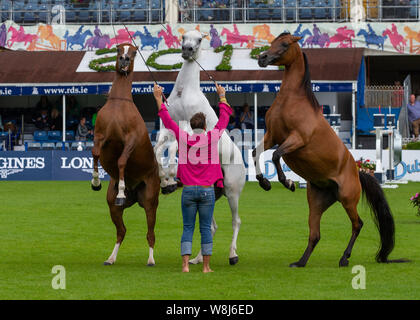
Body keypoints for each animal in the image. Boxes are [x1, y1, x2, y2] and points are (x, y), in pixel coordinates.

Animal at [92, 43, 161, 268]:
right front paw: (95, 181)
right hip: (113, 207)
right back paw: (111, 258)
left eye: (133, 52)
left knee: (150, 233)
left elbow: (122, 160)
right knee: (121, 231)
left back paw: (151, 260)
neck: (118, 104)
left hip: (150, 202)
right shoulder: (100, 136)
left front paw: (121, 190)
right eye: (117, 50)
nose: (124, 60)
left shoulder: (130, 141)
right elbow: (95, 153)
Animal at [251, 32, 406, 268]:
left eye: (285, 44)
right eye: (272, 43)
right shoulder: (271, 137)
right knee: (315, 234)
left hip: (347, 199)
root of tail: (358, 173)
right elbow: (255, 152)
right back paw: (300, 262)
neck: (291, 101)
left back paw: (344, 258)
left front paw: (287, 183)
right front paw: (264, 182)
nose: (262, 58)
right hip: (316, 202)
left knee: (357, 224)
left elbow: (277, 156)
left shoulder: (295, 139)